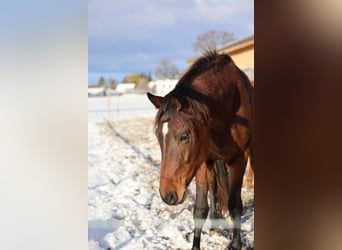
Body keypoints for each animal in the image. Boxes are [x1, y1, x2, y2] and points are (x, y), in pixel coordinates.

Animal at [146, 50, 252, 250]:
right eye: (157, 135)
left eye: (183, 136)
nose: (167, 195)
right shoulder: (202, 161)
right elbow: (201, 208)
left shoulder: (239, 158)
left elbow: (235, 204)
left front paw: (236, 244)